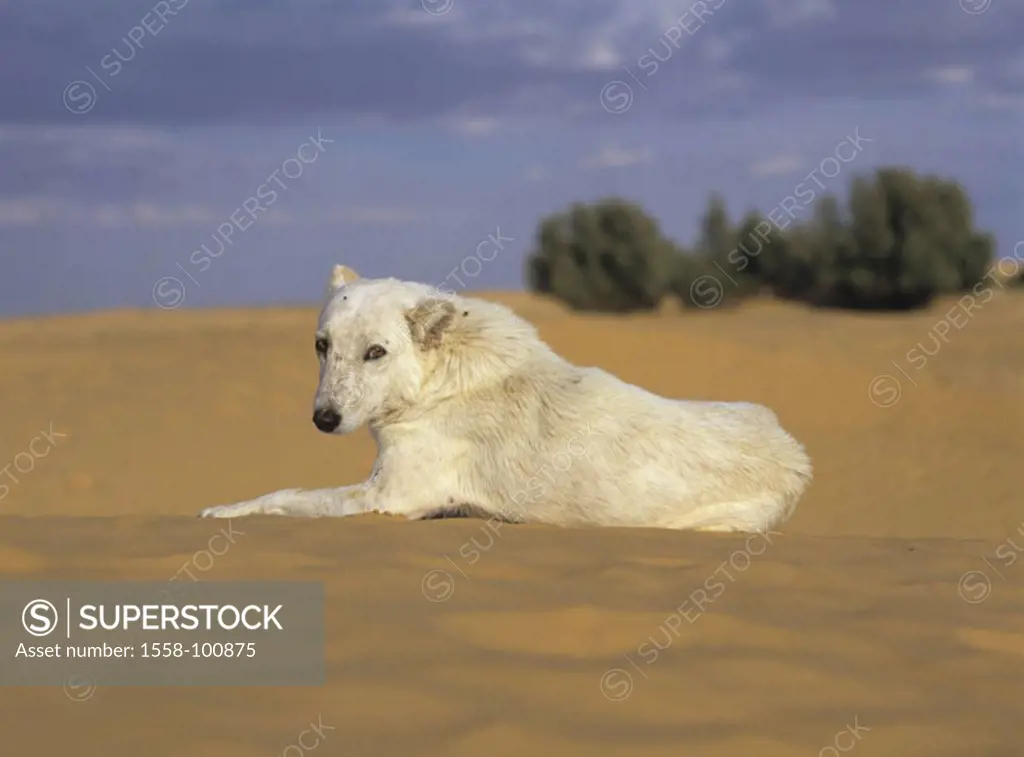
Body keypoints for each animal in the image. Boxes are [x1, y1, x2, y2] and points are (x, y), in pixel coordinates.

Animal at [197, 266, 806, 532]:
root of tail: (798, 455)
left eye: (375, 352)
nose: (323, 419)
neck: (438, 381)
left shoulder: (384, 498)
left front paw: (223, 510)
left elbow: (284, 494)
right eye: (321, 346)